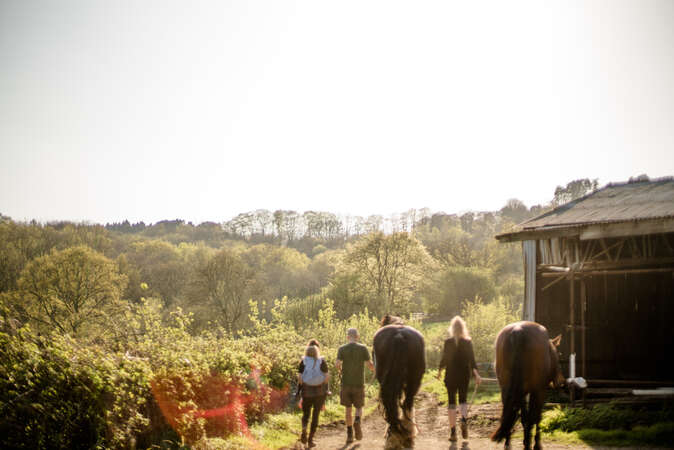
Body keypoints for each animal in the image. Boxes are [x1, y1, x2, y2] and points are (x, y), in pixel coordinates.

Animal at [370, 314, 422, 448]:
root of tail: (399, 335)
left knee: (395, 407)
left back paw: (395, 437)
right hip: (413, 383)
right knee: (407, 404)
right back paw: (406, 436)